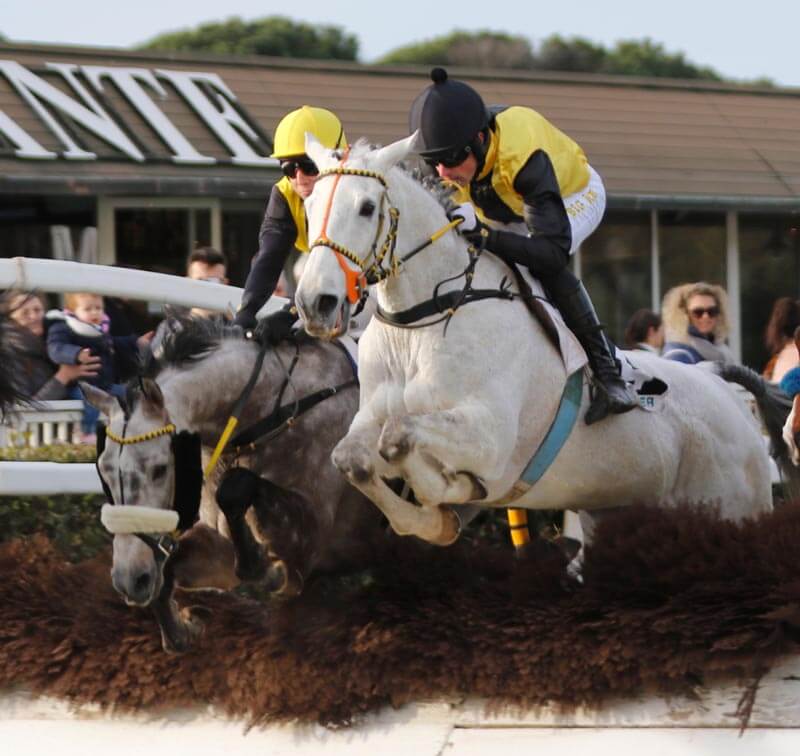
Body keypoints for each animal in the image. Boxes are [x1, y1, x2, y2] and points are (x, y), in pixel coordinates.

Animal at [296, 136, 776, 548]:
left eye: (366, 207)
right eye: (309, 203)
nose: (314, 302)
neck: (421, 322)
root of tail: (720, 384)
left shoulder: (489, 434)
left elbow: (402, 439)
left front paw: (452, 489)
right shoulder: (369, 418)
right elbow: (353, 457)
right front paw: (435, 516)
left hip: (734, 510)